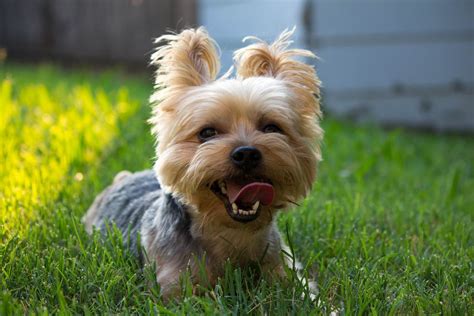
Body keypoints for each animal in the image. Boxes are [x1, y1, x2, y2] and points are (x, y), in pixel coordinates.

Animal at [83, 27, 324, 298]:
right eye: (207, 133)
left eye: (272, 127)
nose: (246, 153)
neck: (232, 233)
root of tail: (124, 177)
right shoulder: (174, 285)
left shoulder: (284, 268)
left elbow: (302, 292)